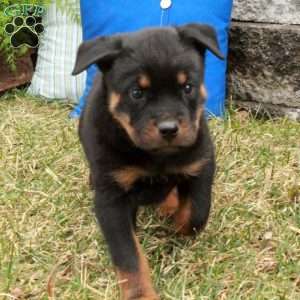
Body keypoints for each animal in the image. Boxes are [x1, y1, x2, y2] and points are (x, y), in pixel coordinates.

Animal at [72, 24, 223, 300]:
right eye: (136, 92)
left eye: (187, 87)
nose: (169, 128)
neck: (156, 156)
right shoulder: (111, 198)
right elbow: (129, 255)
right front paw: (140, 294)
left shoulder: (201, 163)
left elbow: (196, 214)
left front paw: (175, 226)